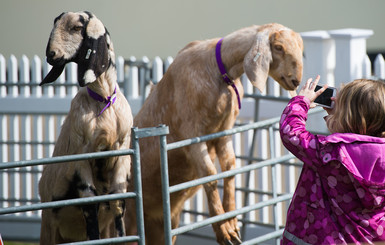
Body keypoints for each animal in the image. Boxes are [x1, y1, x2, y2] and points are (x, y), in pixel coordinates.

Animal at [38, 11, 133, 243]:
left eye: (77, 28)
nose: (51, 55)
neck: (103, 100)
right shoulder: (81, 156)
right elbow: (90, 203)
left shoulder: (122, 152)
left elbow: (119, 200)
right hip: (49, 228)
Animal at [126, 23, 304, 245]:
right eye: (278, 47)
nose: (296, 80)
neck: (221, 74)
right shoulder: (191, 133)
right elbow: (210, 175)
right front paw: (224, 232)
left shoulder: (223, 132)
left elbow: (230, 168)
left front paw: (233, 224)